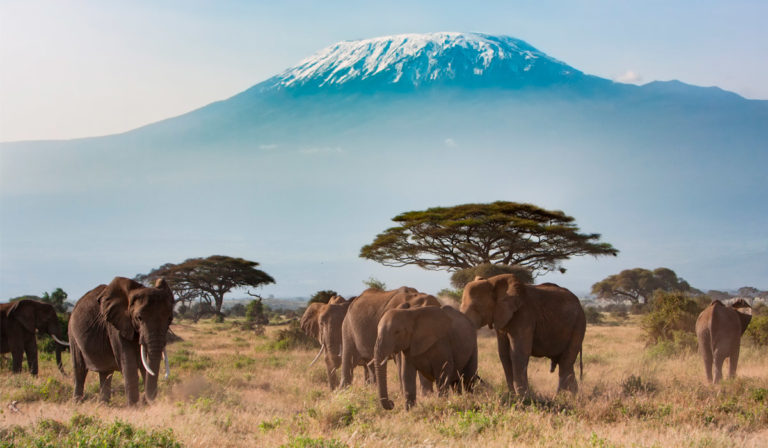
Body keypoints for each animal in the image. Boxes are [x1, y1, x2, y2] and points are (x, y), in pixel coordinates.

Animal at [69, 274, 174, 404]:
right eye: (139, 318)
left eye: (169, 319)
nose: (146, 399)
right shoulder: (115, 326)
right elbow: (128, 363)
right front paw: (134, 406)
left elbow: (144, 365)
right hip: (72, 334)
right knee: (79, 369)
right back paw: (77, 403)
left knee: (105, 372)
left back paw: (103, 405)